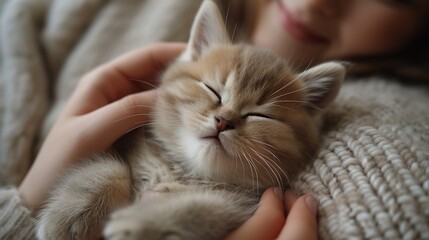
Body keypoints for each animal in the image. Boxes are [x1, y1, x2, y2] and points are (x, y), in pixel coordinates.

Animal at [36, 0, 344, 239]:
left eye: (260, 115)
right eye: (212, 90)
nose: (223, 121)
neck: (187, 171)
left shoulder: (245, 204)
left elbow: (209, 208)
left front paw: (143, 221)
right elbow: (109, 168)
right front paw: (68, 217)